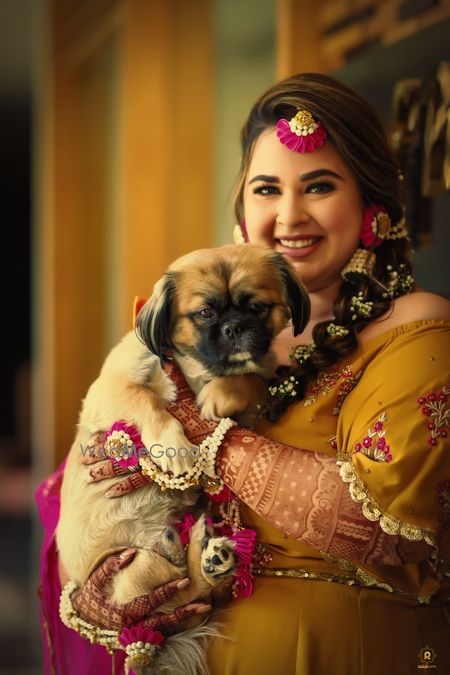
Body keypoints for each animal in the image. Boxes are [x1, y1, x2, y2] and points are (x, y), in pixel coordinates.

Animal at [56, 246, 310, 672]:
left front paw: (221, 393)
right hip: (135, 573)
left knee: (200, 590)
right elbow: (148, 399)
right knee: (186, 588)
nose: (234, 328)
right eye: (205, 313)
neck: (196, 369)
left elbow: (248, 378)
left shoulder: (252, 400)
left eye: (256, 308)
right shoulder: (110, 388)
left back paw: (209, 554)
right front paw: (175, 448)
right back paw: (199, 550)